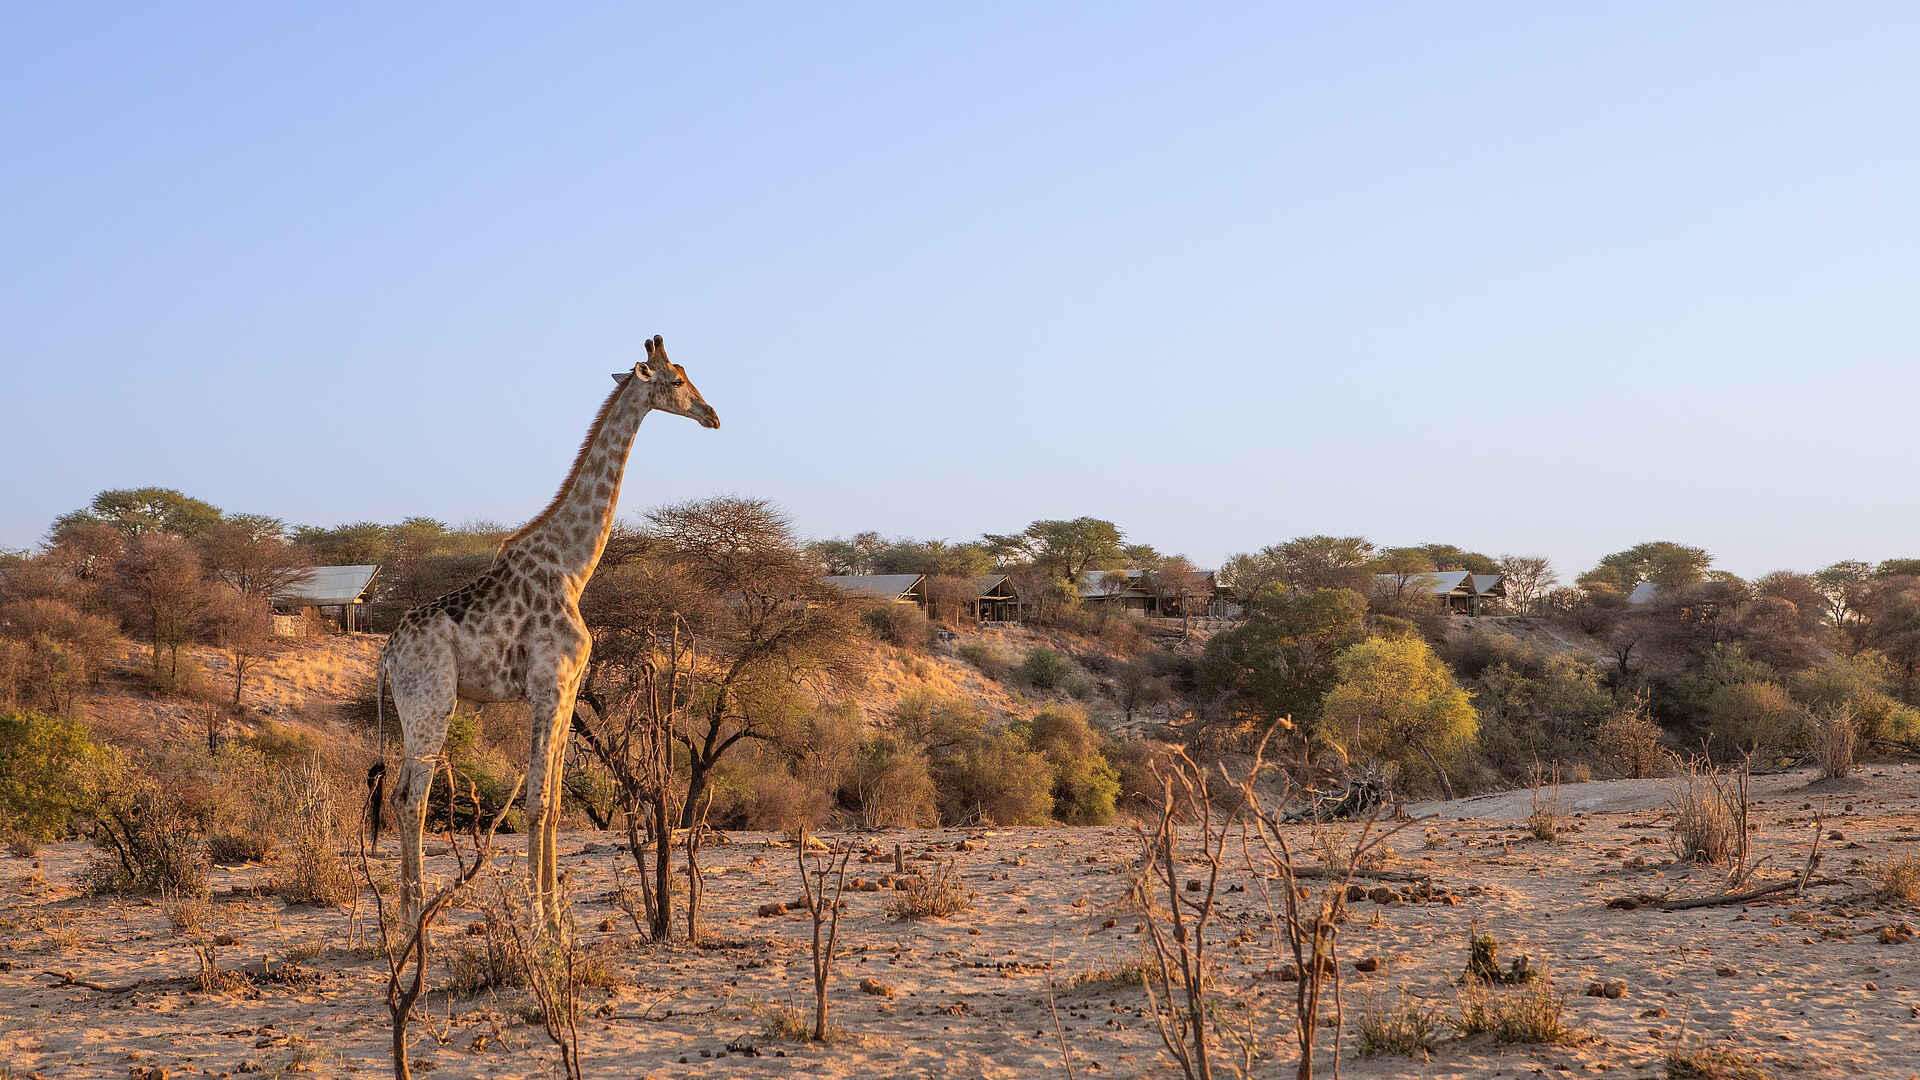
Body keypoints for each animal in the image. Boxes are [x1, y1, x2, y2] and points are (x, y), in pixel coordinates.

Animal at [375, 335, 718, 924]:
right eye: (676, 381)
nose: (712, 415)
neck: (574, 567)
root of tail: (388, 655)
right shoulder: (547, 687)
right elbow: (537, 803)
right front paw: (538, 920)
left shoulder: (571, 688)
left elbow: (555, 804)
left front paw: (557, 919)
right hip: (433, 701)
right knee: (411, 798)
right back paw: (414, 924)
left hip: (413, 706)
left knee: (403, 795)